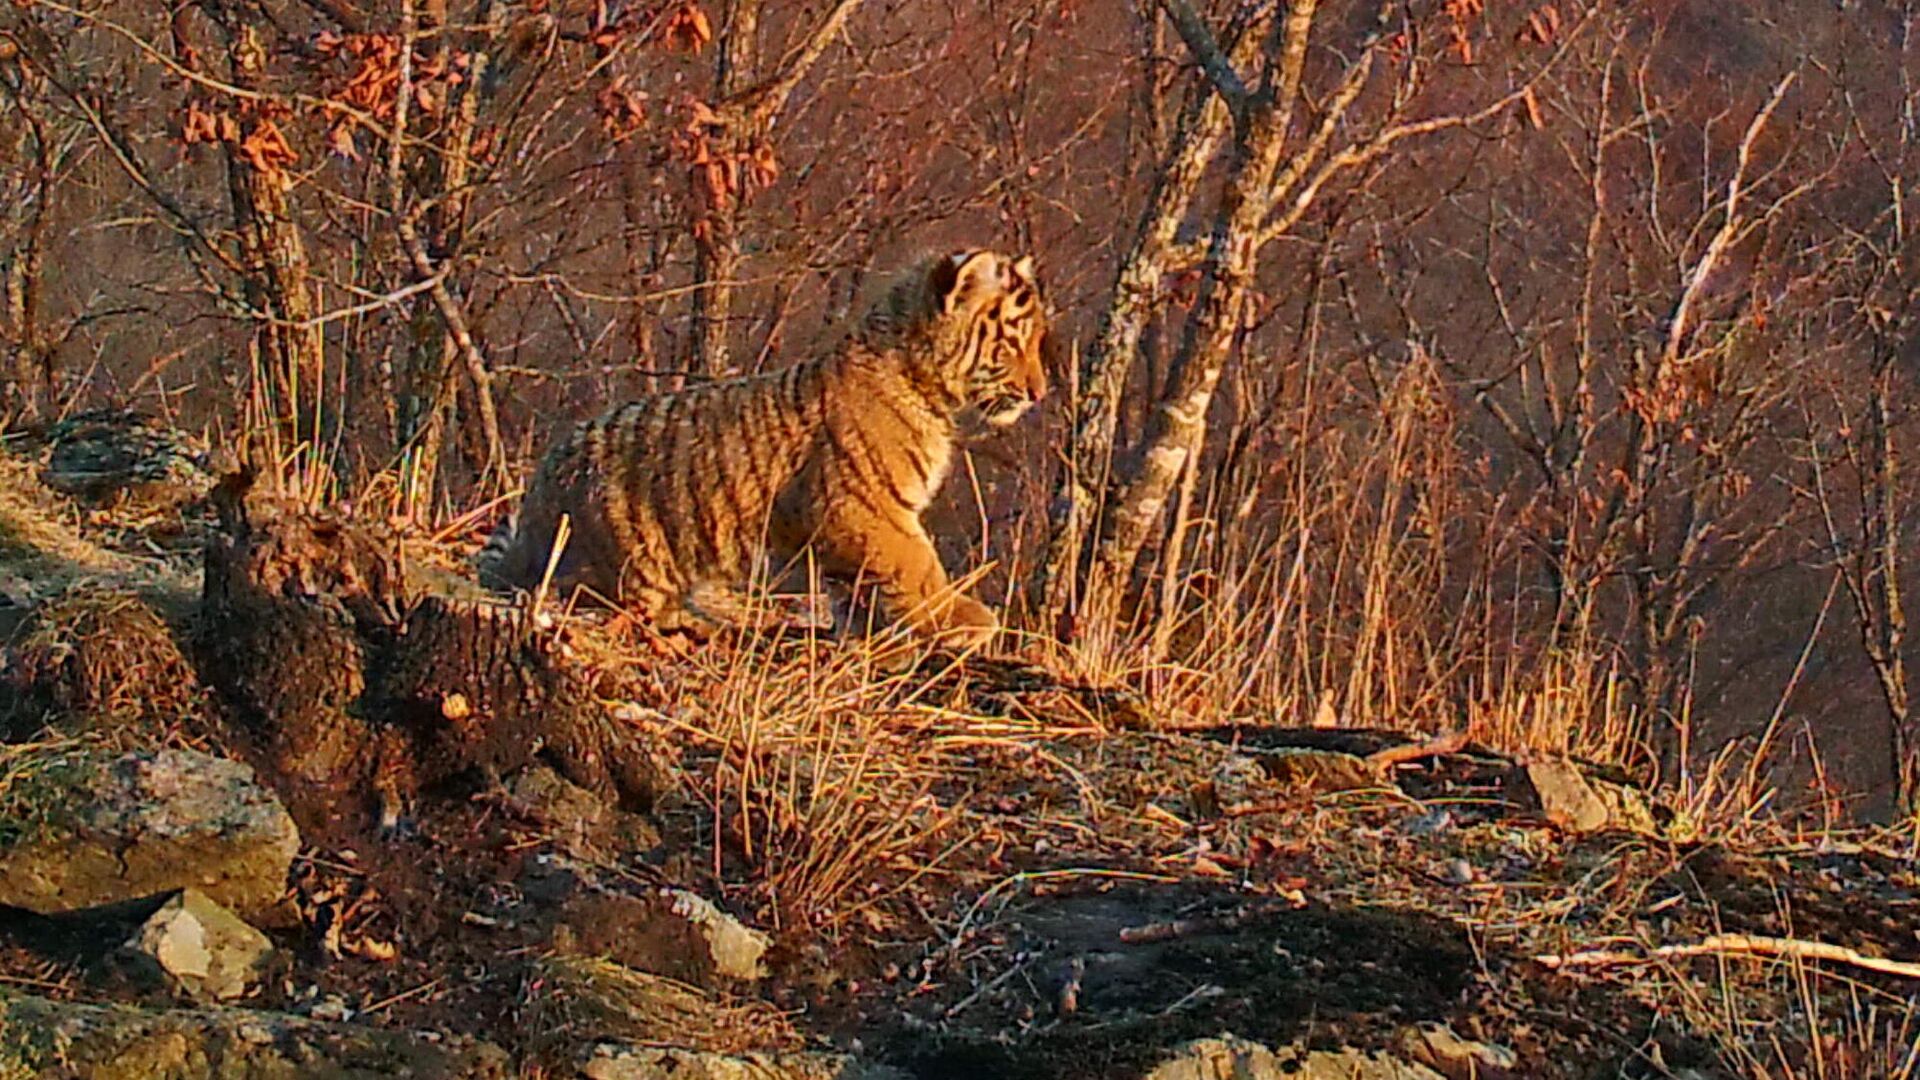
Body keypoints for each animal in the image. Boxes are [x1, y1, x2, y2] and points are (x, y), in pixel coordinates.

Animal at [476, 247, 1052, 641]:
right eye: (1014, 340)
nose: (1039, 392)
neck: (924, 380)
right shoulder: (862, 507)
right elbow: (917, 564)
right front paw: (962, 618)